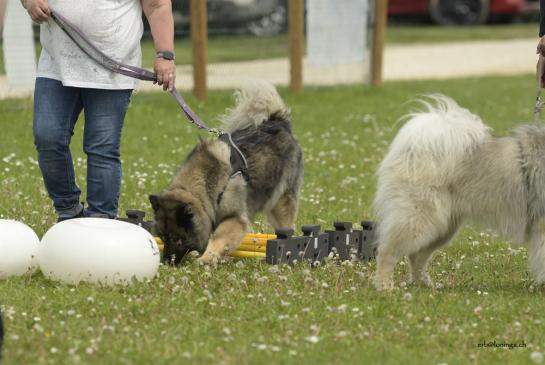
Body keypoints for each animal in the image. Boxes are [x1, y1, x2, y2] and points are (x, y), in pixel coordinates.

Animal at [374, 94, 545, 290]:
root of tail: (412, 149)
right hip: (419, 220)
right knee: (387, 251)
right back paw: (385, 287)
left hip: (442, 228)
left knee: (416, 256)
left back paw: (425, 286)